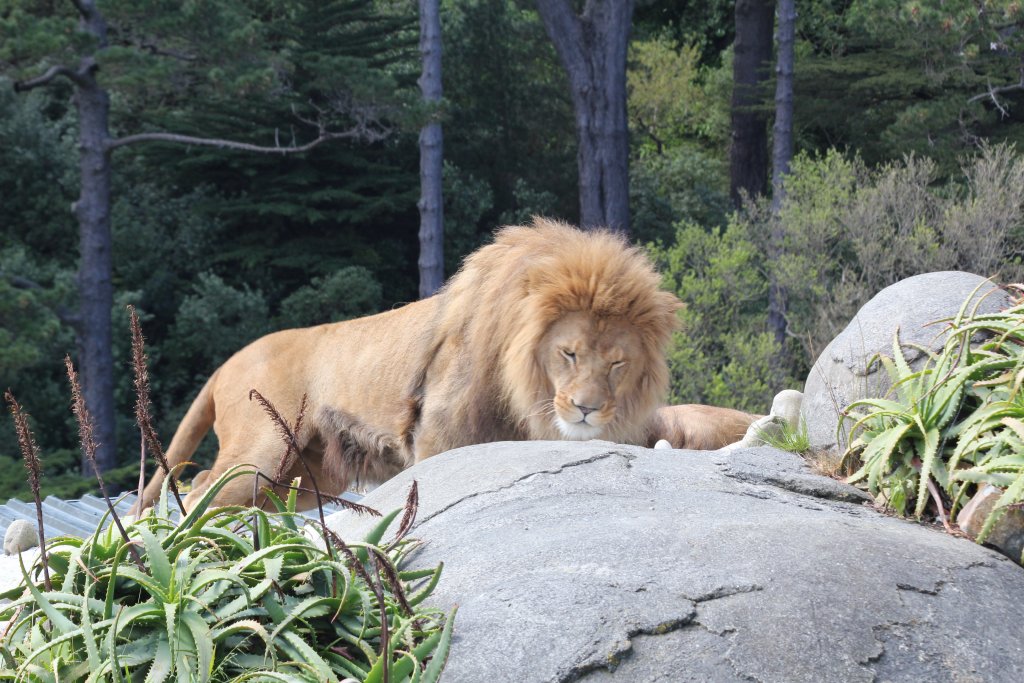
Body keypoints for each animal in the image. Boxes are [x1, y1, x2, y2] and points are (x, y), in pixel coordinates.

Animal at [137, 218, 757, 512]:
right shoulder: (440, 436)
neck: (522, 388)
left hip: (301, 476)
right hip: (264, 448)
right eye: (570, 352)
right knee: (196, 491)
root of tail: (227, 363)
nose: (586, 410)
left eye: (618, 363)